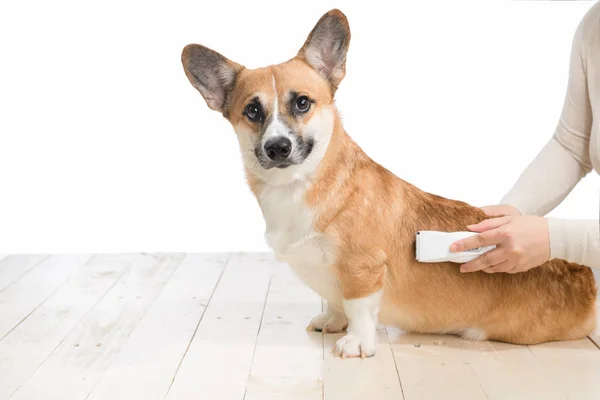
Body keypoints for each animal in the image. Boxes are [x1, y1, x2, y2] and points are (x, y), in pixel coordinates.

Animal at [180, 7, 596, 358]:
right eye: (252, 111)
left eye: (302, 103)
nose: (278, 146)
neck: (299, 185)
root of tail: (585, 279)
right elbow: (336, 303)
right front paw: (332, 322)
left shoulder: (362, 270)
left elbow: (358, 308)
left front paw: (356, 343)